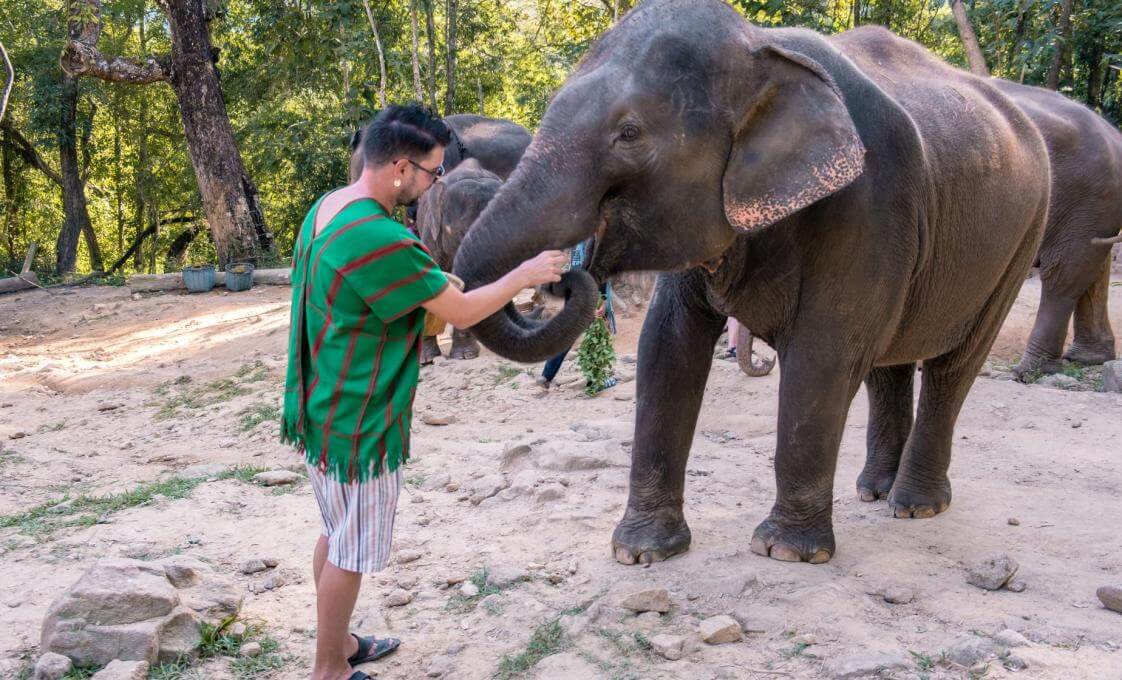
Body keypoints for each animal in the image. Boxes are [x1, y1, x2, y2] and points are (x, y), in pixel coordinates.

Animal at [453, 0, 1050, 565]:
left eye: (629, 133)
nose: (571, 270)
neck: (759, 47)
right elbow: (666, 345)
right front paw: (641, 552)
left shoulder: (871, 202)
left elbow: (823, 353)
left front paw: (786, 552)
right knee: (889, 362)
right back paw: (874, 492)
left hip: (1022, 239)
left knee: (953, 366)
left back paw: (914, 506)